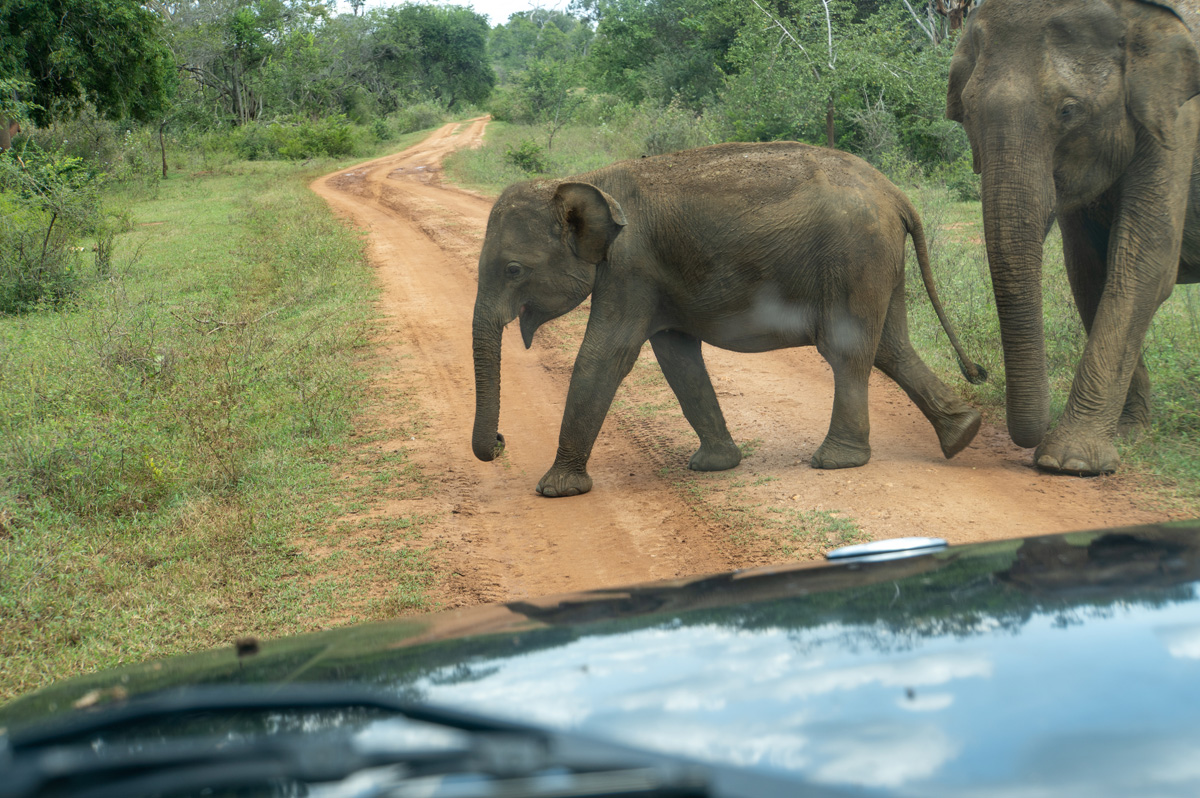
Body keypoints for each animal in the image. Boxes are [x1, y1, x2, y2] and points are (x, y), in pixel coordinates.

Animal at [471, 141, 987, 497]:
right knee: (891, 347)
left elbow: (606, 356)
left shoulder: (631, 267)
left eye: (513, 270)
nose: (499, 442)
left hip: (856, 255)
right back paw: (963, 434)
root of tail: (897, 195)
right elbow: (677, 356)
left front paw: (555, 490)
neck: (584, 180)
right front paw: (715, 465)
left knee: (848, 349)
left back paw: (836, 462)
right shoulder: (651, 277)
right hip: (876, 259)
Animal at [946, 0, 1200, 475]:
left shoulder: (1179, 123)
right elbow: (1089, 269)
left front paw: (1070, 463)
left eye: (1068, 111)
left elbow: (1144, 264)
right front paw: (1128, 434)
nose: (979, 372)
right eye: (966, 114)